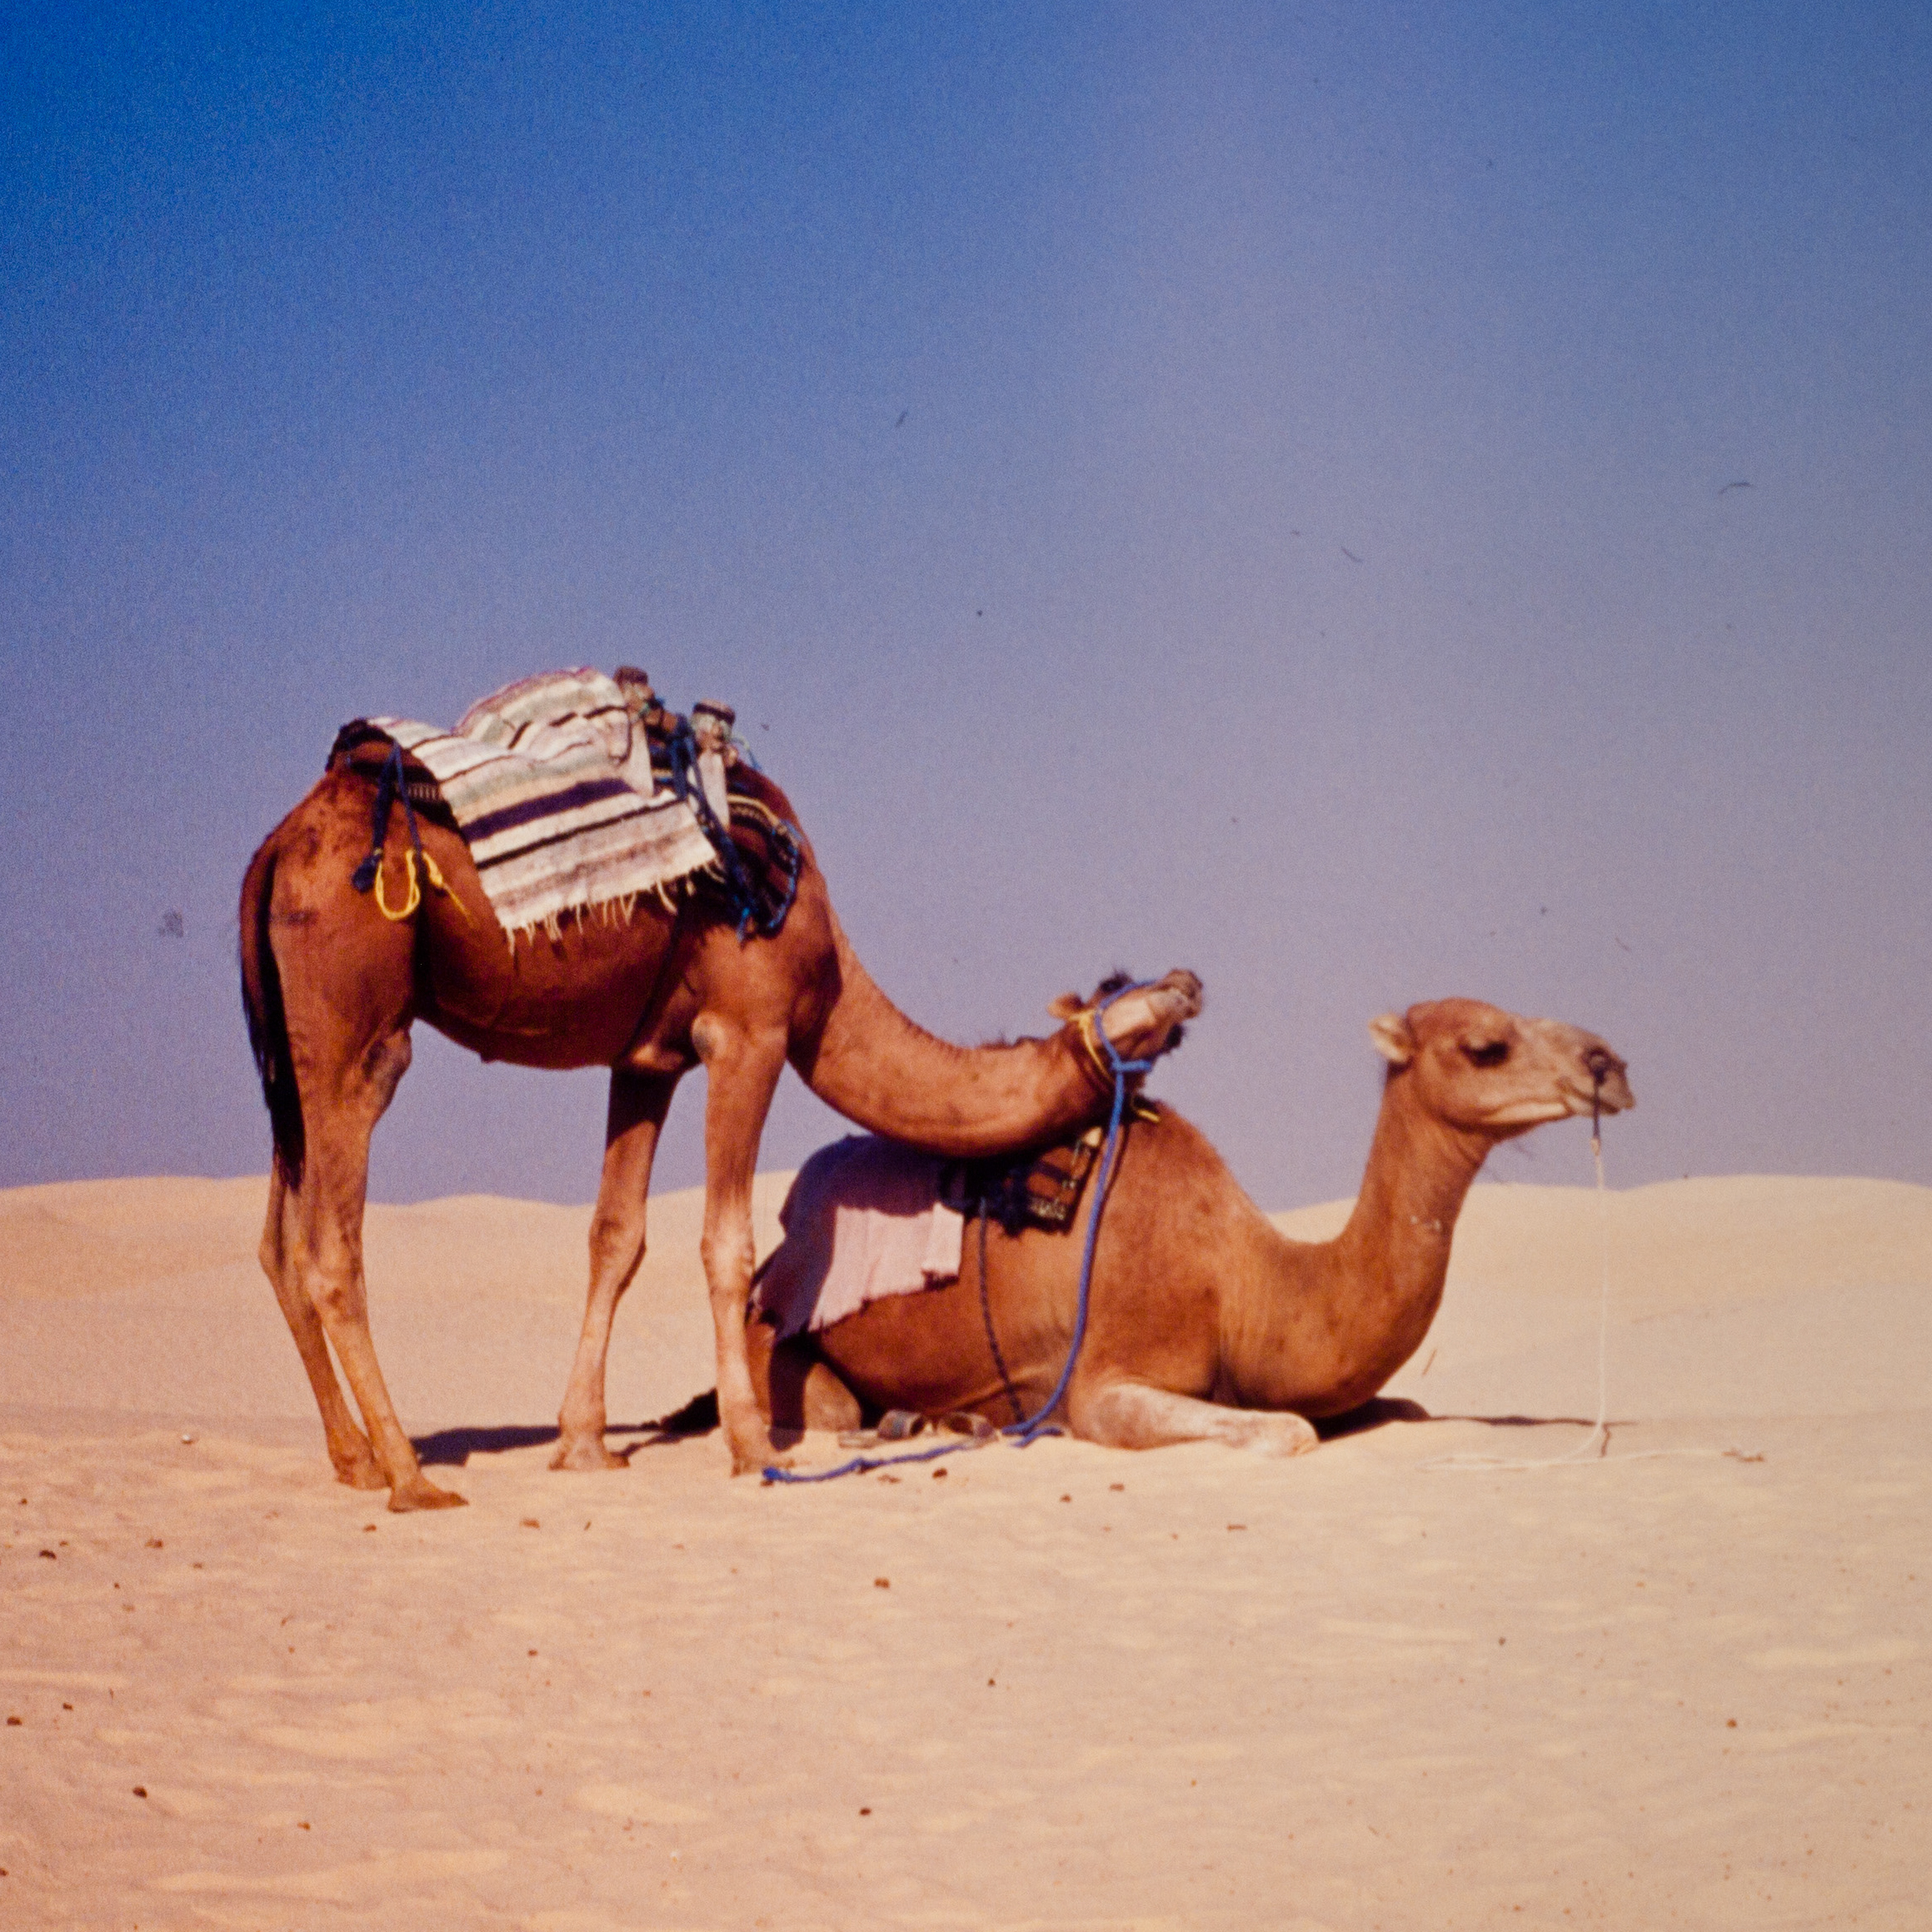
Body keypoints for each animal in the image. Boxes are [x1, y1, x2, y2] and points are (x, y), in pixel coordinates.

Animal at [239, 751, 1202, 1508]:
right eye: (1131, 993)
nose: (1191, 979)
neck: (828, 974)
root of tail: (278, 844)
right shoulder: (749, 1031)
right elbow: (727, 1242)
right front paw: (751, 1446)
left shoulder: (646, 1059)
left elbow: (616, 1237)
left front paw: (583, 1446)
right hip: (356, 1020)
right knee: (333, 1243)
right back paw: (410, 1474)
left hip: (286, 1047)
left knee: (280, 1243)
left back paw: (356, 1460)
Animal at [750, 998, 1633, 1453]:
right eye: (1486, 1045)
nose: (1609, 1063)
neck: (1245, 1281)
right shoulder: (1106, 1382)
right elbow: (1290, 1432)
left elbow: (1403, 1411)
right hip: (776, 1337)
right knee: (830, 1410)